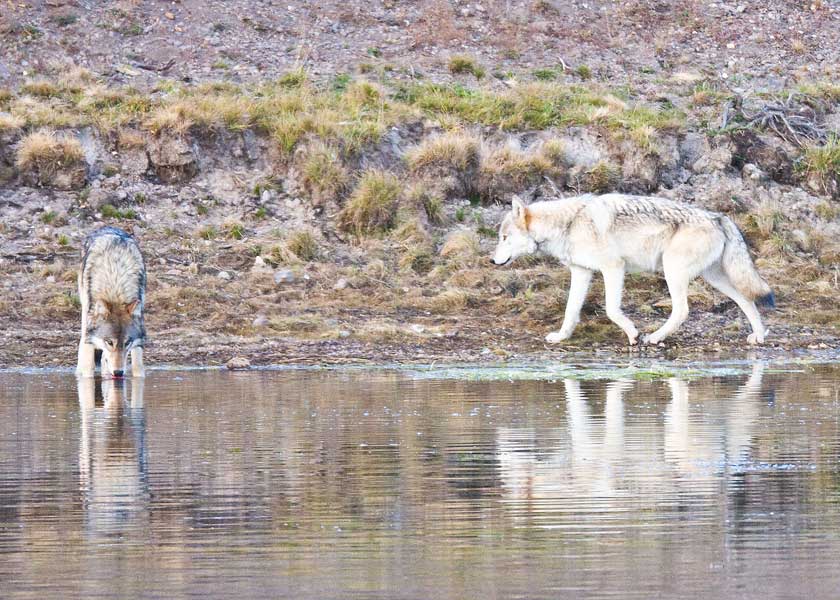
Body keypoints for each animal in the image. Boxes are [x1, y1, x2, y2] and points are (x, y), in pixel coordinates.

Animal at [76, 225, 147, 376]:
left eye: (127, 343)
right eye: (109, 342)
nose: (118, 372)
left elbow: (138, 366)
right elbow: (88, 367)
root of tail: (107, 227)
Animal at [492, 195, 776, 344]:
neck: (569, 224)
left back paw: (655, 337)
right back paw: (758, 336)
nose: (492, 261)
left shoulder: (613, 268)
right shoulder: (581, 271)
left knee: (682, 311)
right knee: (747, 300)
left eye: (504, 237)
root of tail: (719, 217)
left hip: (673, 271)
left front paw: (633, 334)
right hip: (715, 278)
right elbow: (570, 311)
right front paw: (561, 337)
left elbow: (611, 310)